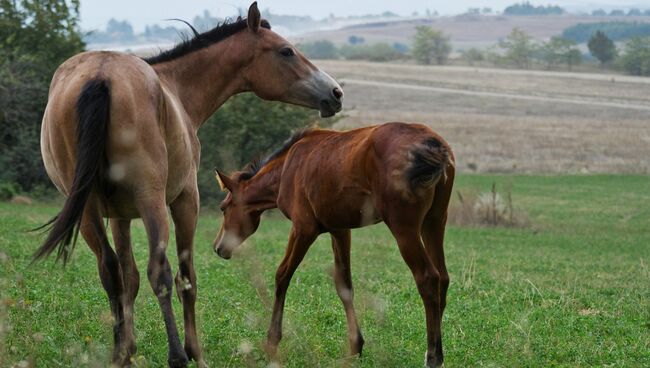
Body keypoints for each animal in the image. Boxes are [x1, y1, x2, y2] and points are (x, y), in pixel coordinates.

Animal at [33, 2, 342, 366]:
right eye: (286, 51)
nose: (335, 93)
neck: (175, 89)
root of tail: (101, 75)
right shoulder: (185, 200)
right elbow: (186, 277)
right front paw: (194, 351)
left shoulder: (119, 215)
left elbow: (129, 278)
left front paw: (128, 348)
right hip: (151, 201)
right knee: (160, 273)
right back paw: (177, 354)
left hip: (88, 210)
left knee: (110, 271)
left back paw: (119, 352)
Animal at [215, 122, 454, 366]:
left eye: (223, 208)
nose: (218, 247)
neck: (286, 169)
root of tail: (432, 144)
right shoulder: (339, 230)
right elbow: (344, 284)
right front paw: (355, 346)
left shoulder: (303, 228)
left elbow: (282, 275)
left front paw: (272, 340)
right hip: (434, 222)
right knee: (443, 278)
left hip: (403, 228)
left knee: (428, 278)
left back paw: (433, 356)